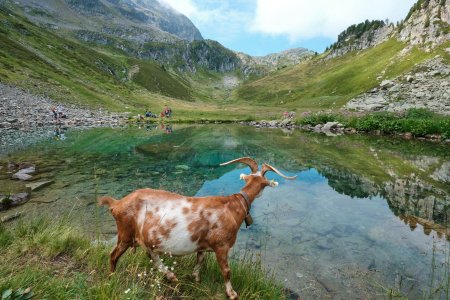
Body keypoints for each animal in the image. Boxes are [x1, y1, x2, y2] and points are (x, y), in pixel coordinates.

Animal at [98, 158, 296, 298]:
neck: (234, 206)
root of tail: (117, 203)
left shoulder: (202, 245)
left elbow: (199, 260)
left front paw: (196, 277)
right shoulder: (221, 245)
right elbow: (226, 271)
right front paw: (232, 293)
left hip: (143, 238)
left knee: (151, 254)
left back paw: (171, 276)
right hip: (125, 233)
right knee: (114, 255)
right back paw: (111, 278)